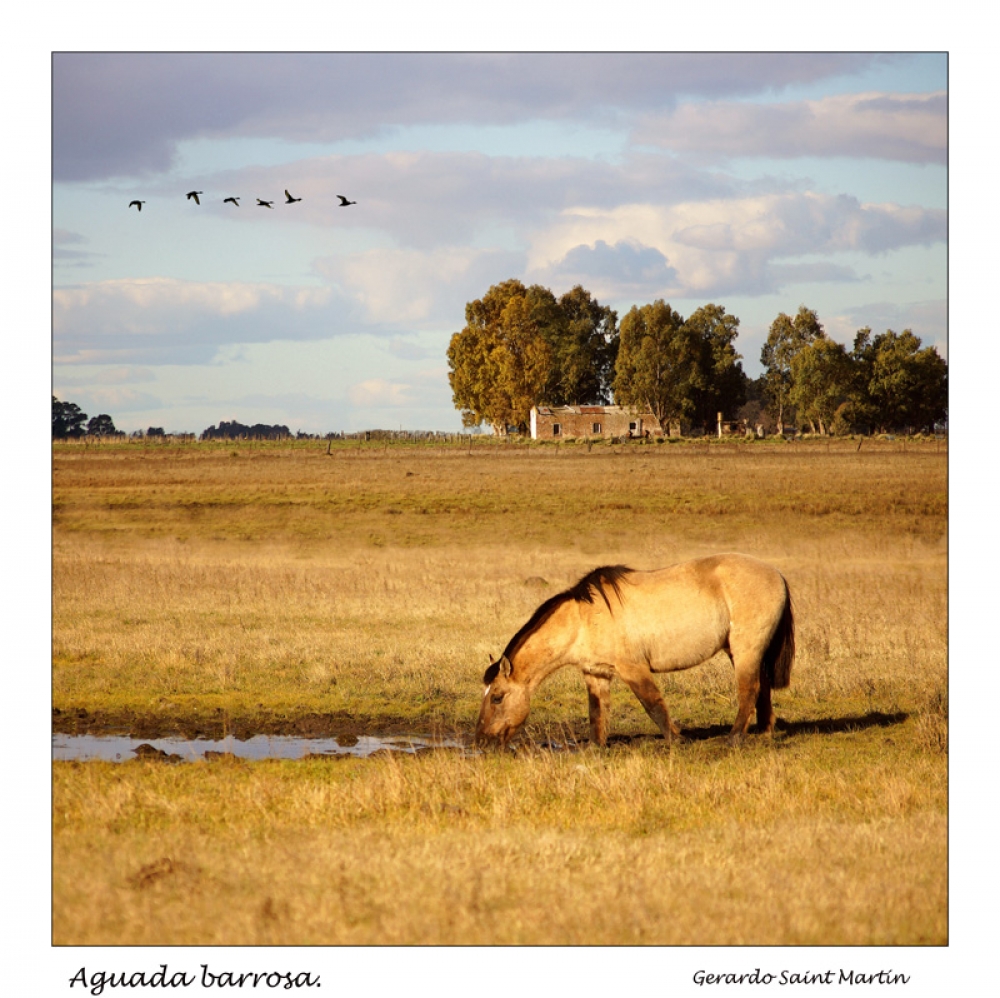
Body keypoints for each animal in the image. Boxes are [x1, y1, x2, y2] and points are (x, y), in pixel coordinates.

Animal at [476, 556, 796, 752]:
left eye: (497, 697)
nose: (481, 741)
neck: (582, 619)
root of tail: (778, 575)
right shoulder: (596, 673)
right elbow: (597, 712)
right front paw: (595, 747)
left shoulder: (633, 669)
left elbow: (653, 705)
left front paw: (675, 740)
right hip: (744, 652)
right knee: (762, 689)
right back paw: (764, 733)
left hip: (745, 650)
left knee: (749, 689)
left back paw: (734, 738)